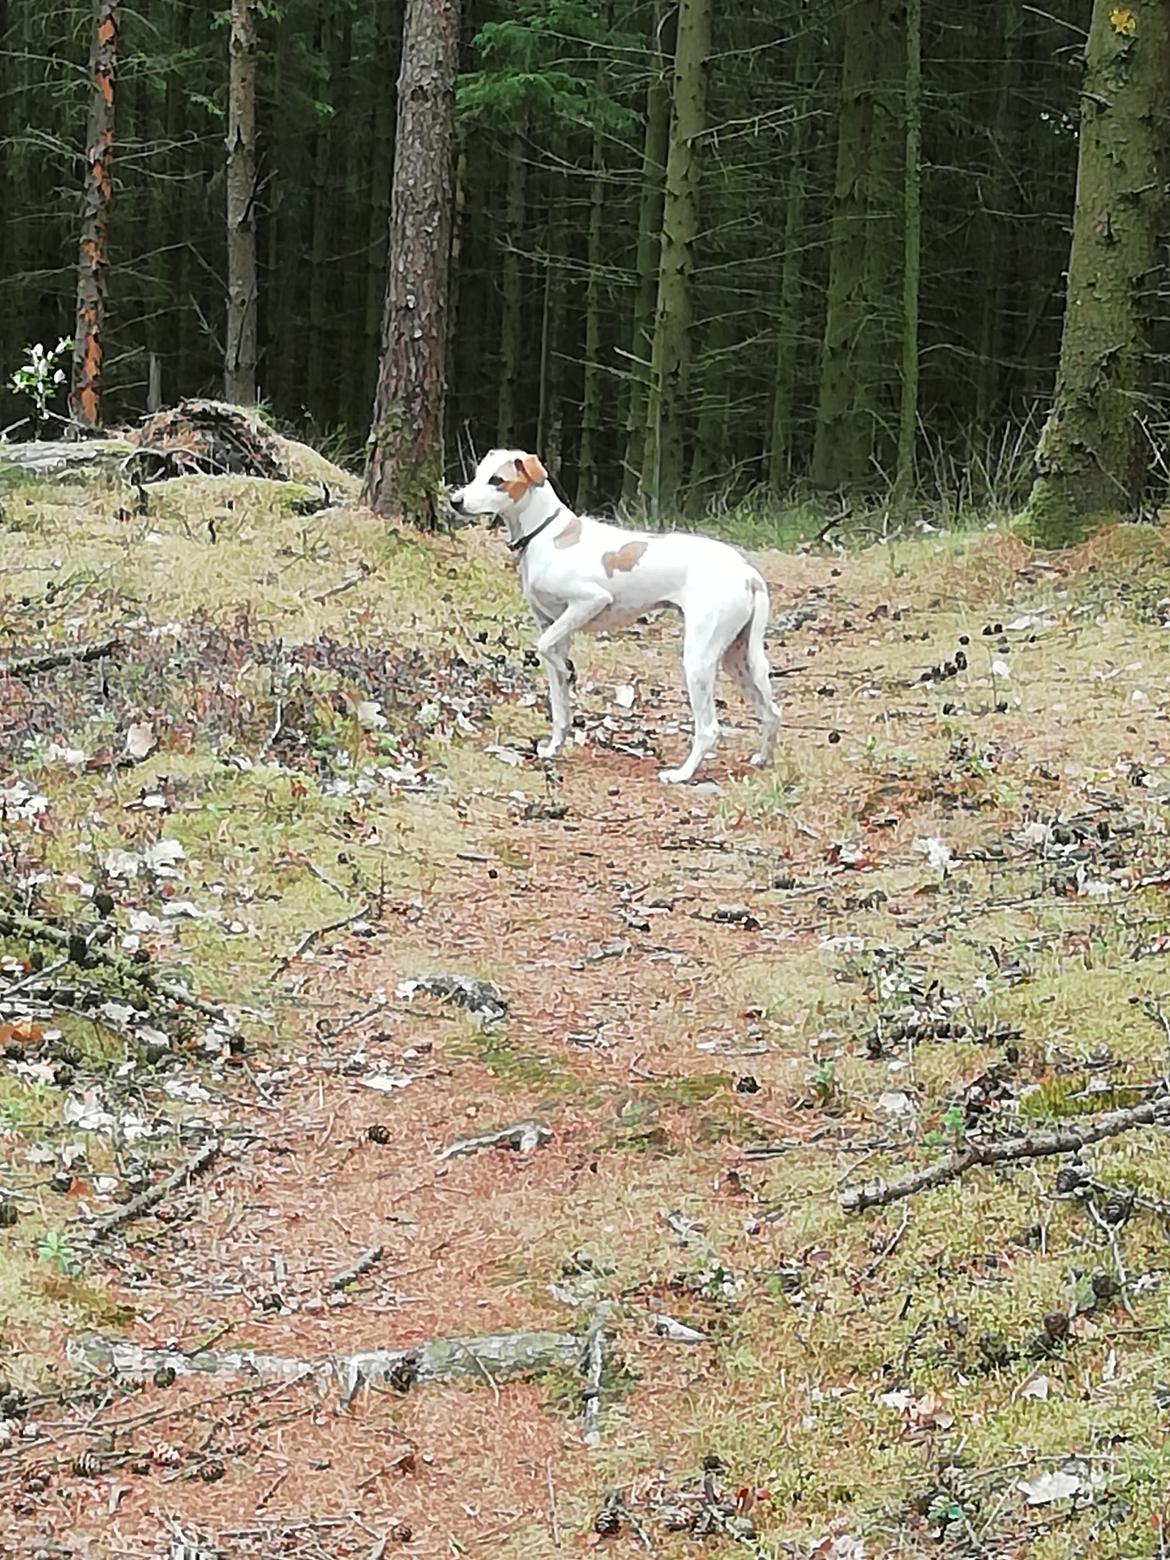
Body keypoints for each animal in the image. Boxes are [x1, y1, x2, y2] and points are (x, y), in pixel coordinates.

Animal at [452, 452, 783, 786]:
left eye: (497, 480)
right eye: (477, 474)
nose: (455, 501)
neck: (547, 535)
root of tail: (747, 572)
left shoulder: (590, 601)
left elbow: (544, 646)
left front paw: (568, 671)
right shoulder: (554, 625)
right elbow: (560, 707)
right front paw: (554, 747)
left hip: (699, 661)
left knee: (710, 729)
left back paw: (682, 774)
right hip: (737, 659)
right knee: (772, 713)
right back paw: (762, 760)